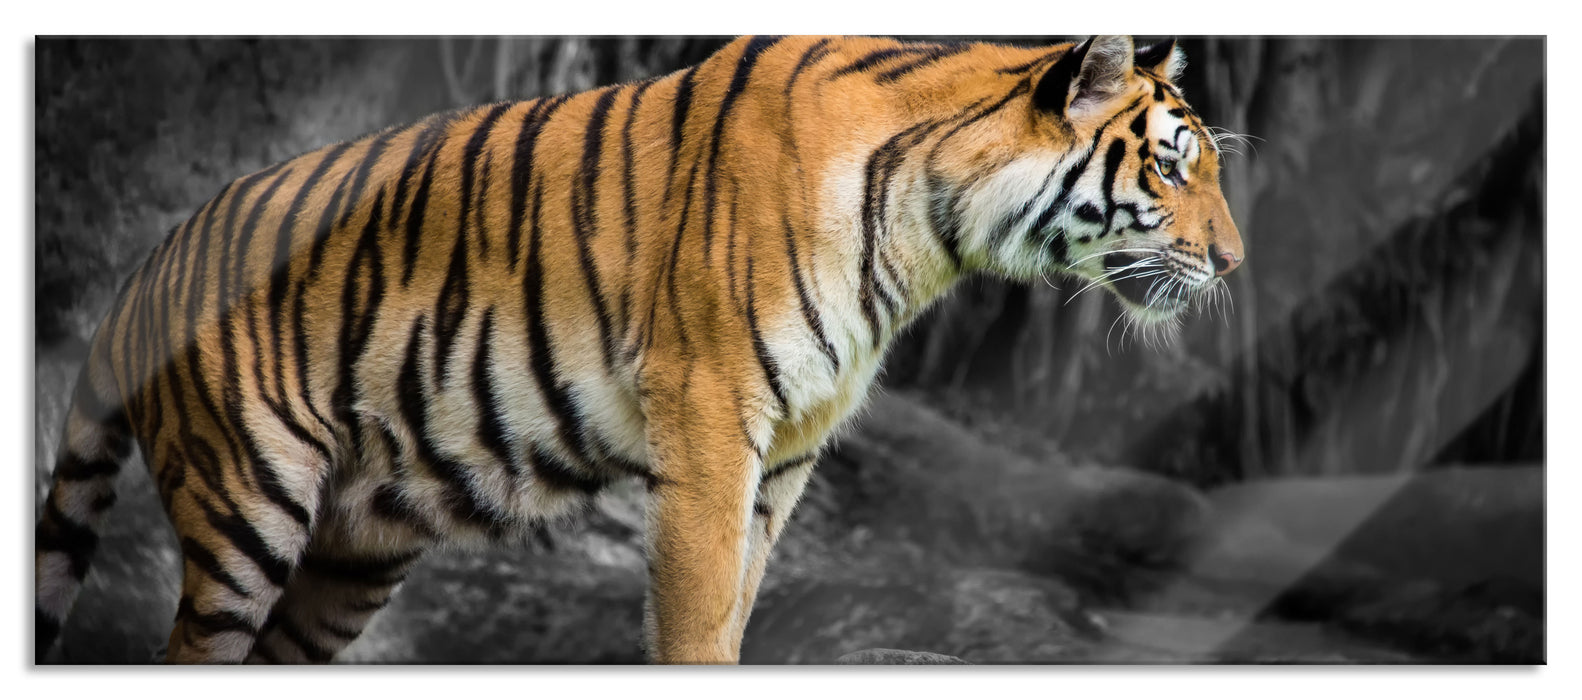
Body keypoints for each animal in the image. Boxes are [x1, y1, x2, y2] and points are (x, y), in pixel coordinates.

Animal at [35, 34, 1243, 665]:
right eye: (1170, 166)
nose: (1233, 263)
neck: (929, 233)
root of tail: (145, 267)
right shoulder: (710, 417)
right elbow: (697, 610)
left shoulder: (789, 451)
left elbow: (743, 601)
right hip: (249, 503)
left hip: (353, 552)